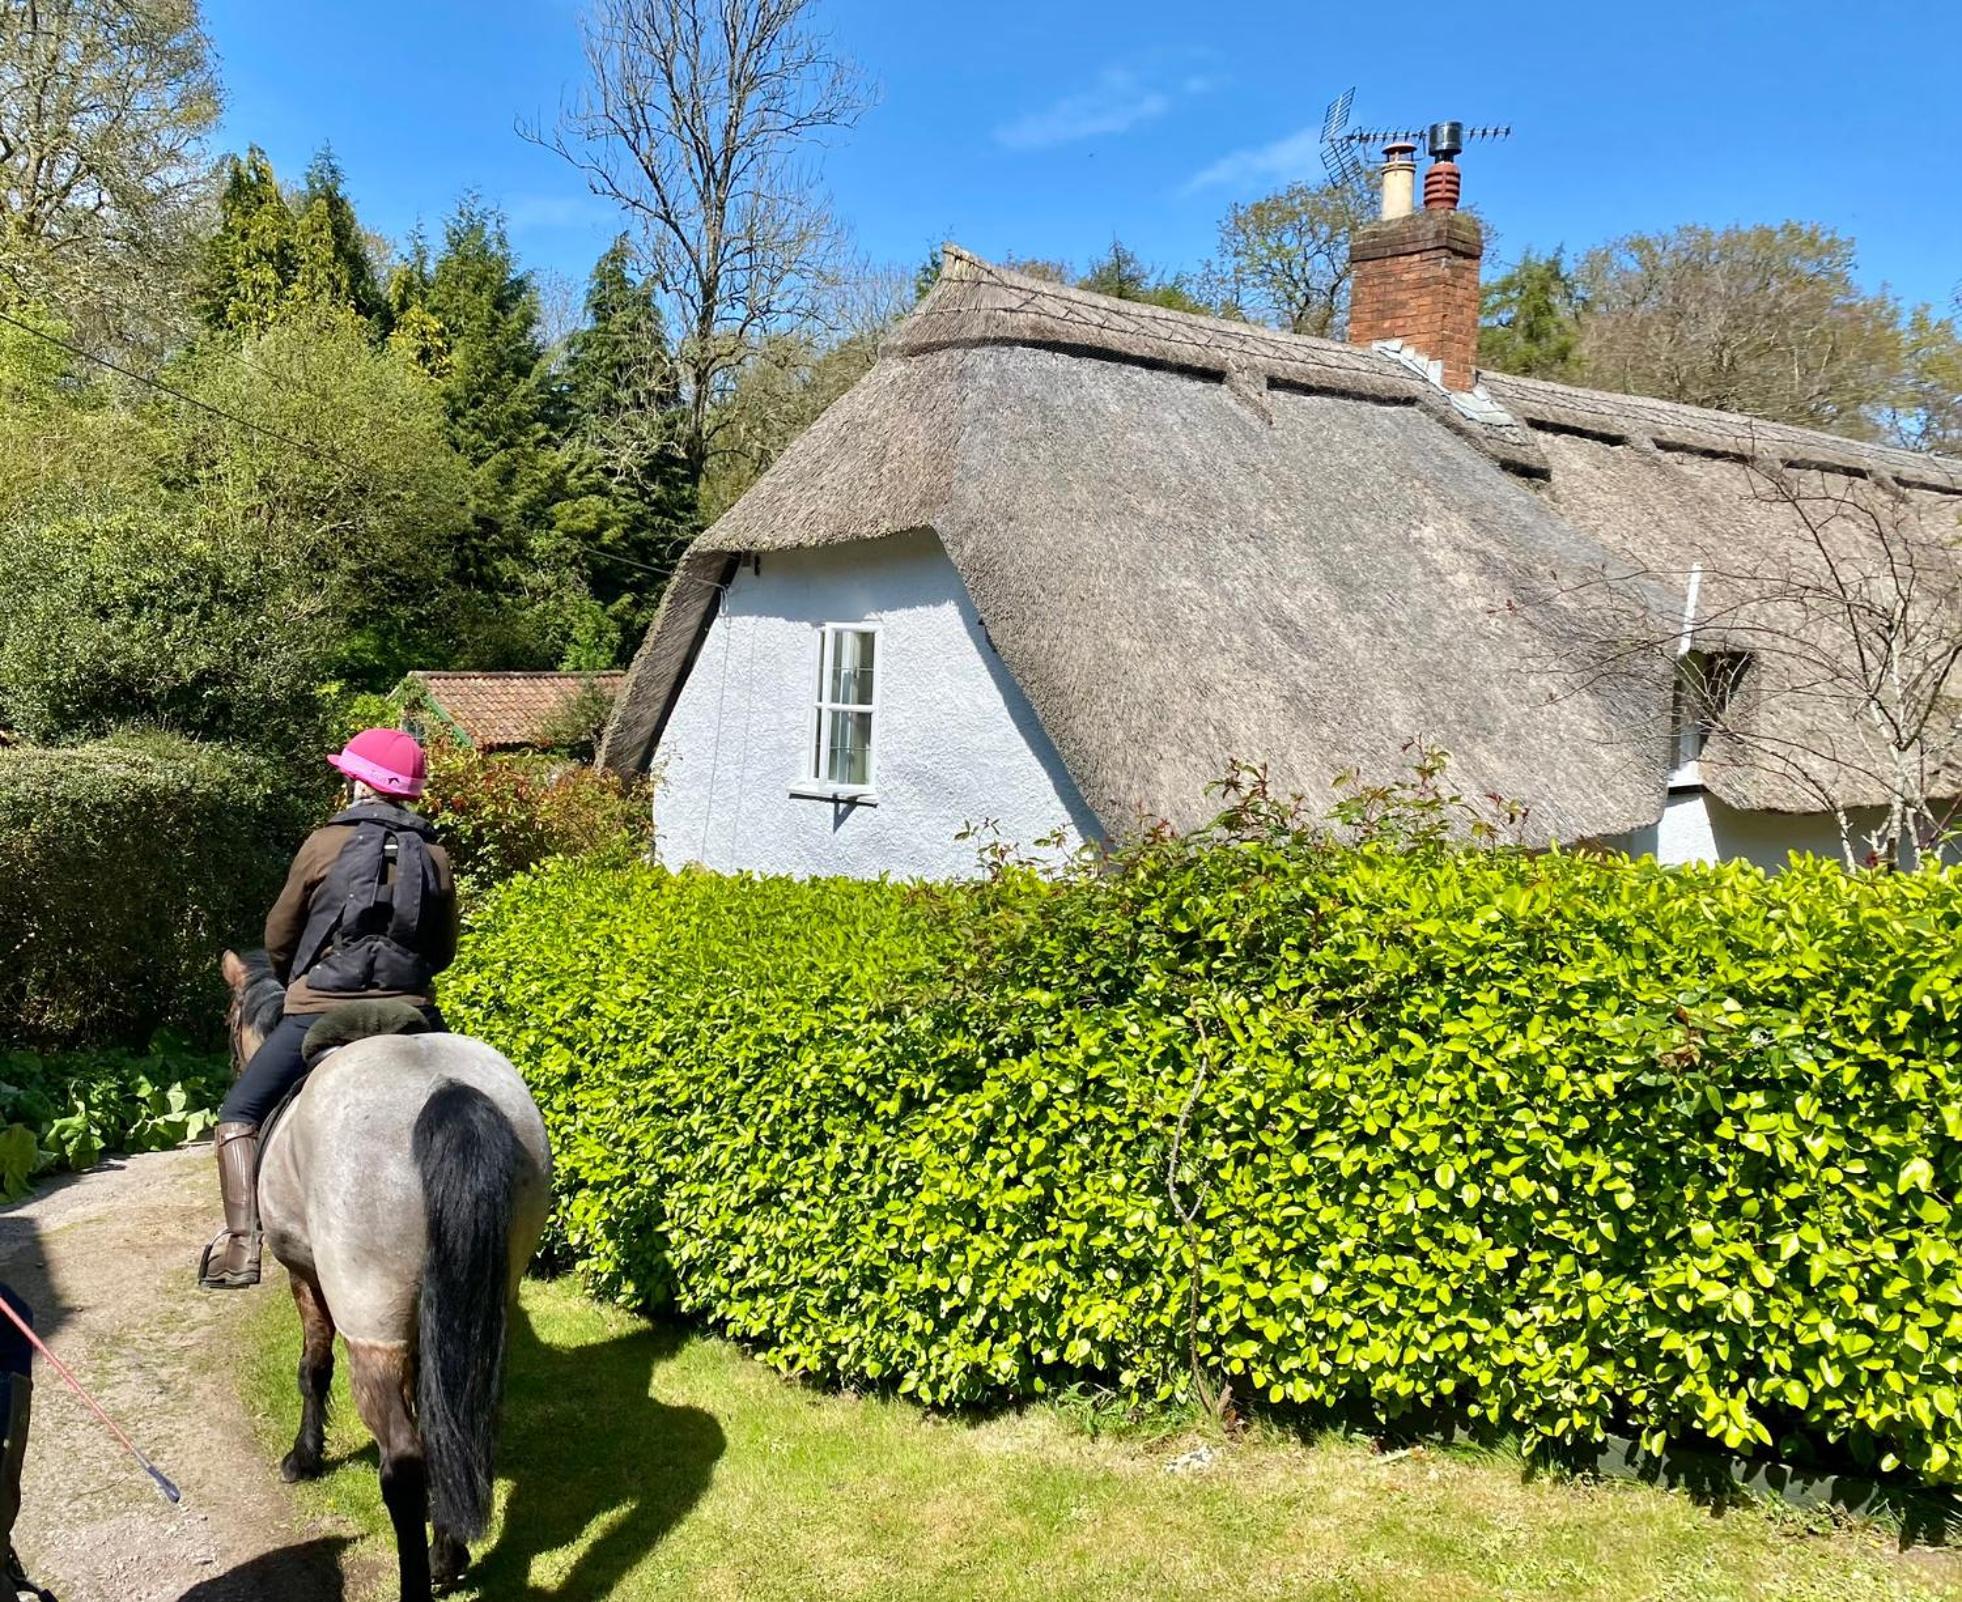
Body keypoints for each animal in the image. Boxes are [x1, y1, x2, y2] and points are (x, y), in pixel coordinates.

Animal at [220, 949, 553, 1600]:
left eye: (227, 1022)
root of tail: (444, 1088)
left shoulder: (305, 1276)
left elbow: (312, 1367)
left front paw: (303, 1458)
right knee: (464, 1430)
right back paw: (449, 1554)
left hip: (369, 1326)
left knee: (402, 1462)